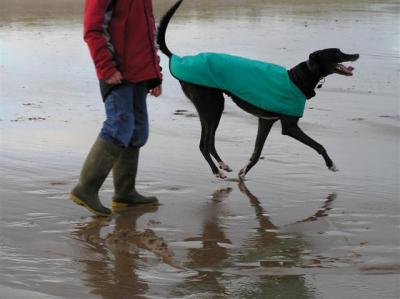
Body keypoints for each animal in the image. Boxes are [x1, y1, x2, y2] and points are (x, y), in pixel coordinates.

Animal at [156, 0, 360, 178]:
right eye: (337, 53)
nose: (356, 54)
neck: (297, 79)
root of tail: (178, 58)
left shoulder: (265, 122)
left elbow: (256, 153)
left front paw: (243, 173)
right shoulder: (290, 126)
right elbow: (318, 145)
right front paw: (331, 164)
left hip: (210, 108)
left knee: (210, 142)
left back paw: (223, 165)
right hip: (212, 105)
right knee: (203, 144)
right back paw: (217, 171)